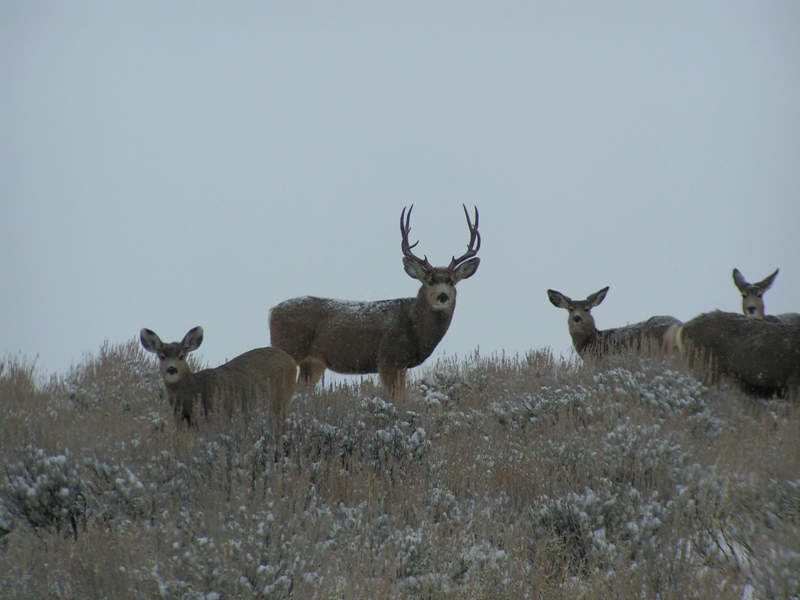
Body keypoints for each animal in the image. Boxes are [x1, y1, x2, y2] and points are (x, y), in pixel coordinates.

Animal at [140, 327, 297, 436]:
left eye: (181, 356)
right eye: (162, 356)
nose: (172, 369)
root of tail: (291, 361)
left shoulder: (211, 412)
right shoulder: (180, 417)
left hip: (281, 399)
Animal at [269, 204, 481, 397]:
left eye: (451, 281)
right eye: (430, 281)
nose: (442, 296)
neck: (415, 327)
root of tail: (271, 311)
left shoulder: (402, 365)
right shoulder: (387, 357)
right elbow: (394, 398)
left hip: (313, 362)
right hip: (289, 346)